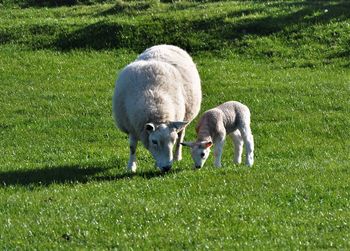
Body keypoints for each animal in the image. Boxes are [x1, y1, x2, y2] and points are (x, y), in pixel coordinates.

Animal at [110, 44, 201, 173]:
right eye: (154, 141)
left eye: (172, 140)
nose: (167, 168)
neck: (157, 110)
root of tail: (166, 45)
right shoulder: (132, 126)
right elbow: (132, 147)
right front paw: (131, 167)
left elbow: (178, 139)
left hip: (185, 117)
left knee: (181, 137)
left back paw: (177, 156)